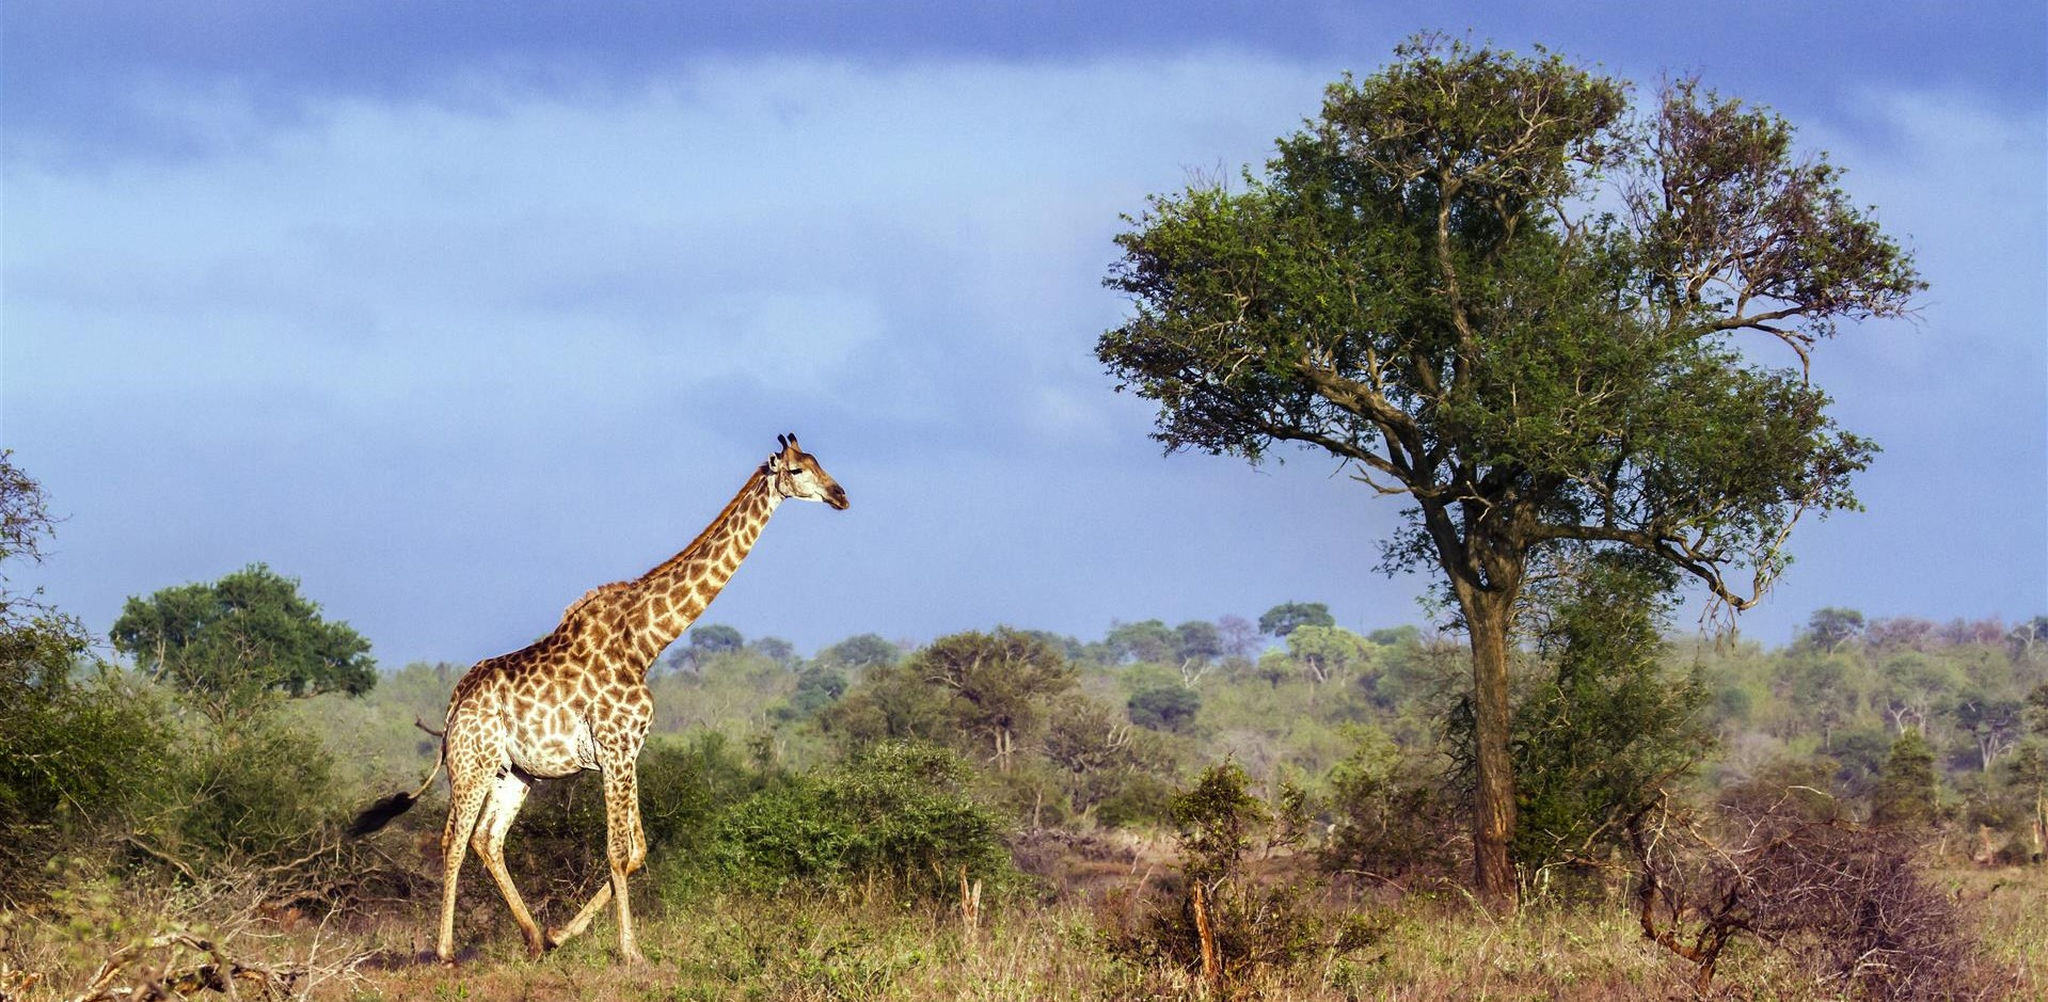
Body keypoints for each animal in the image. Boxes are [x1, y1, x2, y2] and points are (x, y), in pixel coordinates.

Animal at [348, 434, 843, 963]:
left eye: (818, 462)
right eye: (797, 469)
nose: (841, 496)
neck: (646, 641)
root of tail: (455, 700)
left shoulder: (628, 751)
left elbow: (637, 851)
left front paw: (562, 933)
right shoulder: (615, 747)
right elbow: (618, 852)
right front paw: (631, 952)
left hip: (514, 771)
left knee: (488, 840)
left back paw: (534, 938)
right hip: (471, 763)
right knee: (453, 841)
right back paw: (445, 951)